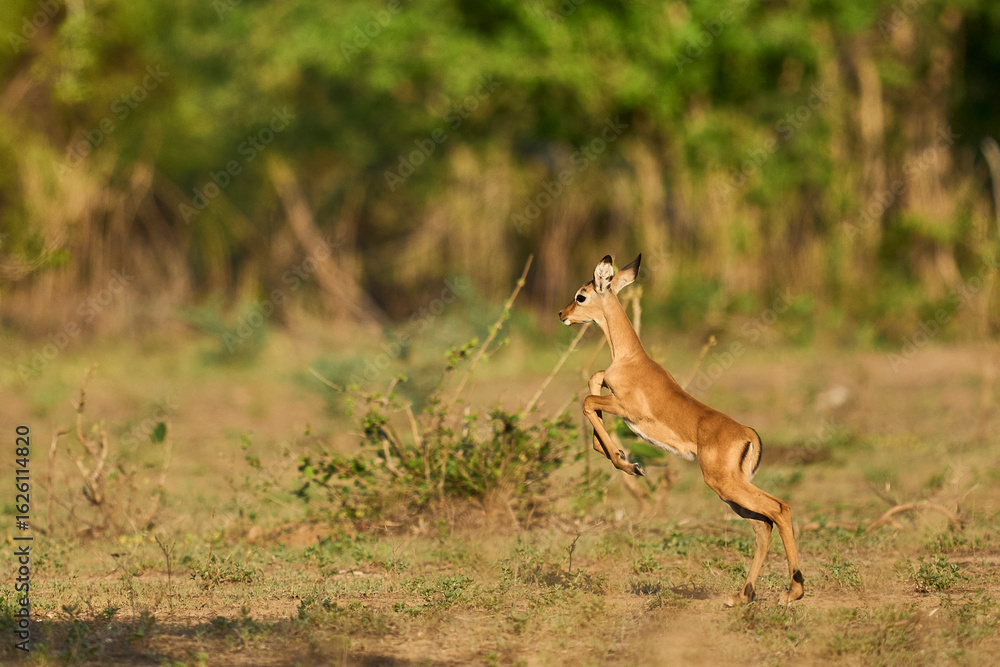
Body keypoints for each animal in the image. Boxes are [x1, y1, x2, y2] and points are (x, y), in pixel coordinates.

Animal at [558, 254, 804, 605]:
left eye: (581, 295)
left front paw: (627, 463)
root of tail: (748, 433)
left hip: (724, 484)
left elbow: (588, 400)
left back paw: (792, 592)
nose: (562, 314)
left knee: (779, 509)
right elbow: (594, 382)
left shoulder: (627, 410)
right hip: (731, 491)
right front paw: (618, 455)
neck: (631, 359)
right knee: (763, 526)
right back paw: (741, 596)